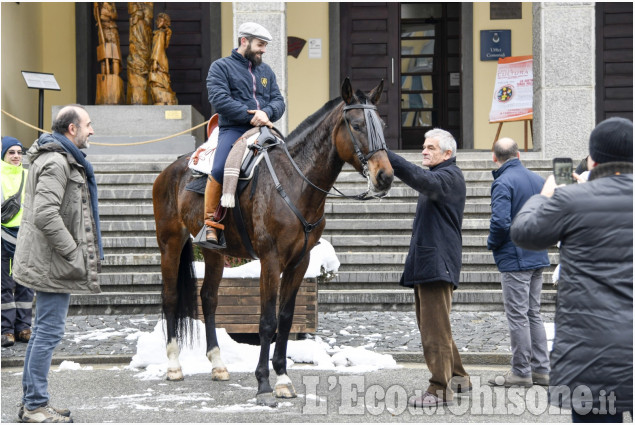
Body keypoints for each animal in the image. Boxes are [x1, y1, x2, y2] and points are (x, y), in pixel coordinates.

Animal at [152, 78, 396, 406]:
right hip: (170, 243)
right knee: (170, 298)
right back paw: (174, 365)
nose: (385, 177)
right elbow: (267, 320)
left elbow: (286, 317)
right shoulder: (271, 260)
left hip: (214, 252)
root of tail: (171, 170)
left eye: (381, 125)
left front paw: (282, 378)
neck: (296, 182)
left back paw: (218, 364)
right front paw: (264, 384)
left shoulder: (299, 262)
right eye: (356, 125)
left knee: (209, 298)